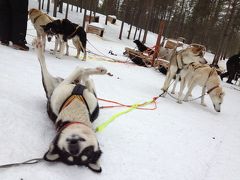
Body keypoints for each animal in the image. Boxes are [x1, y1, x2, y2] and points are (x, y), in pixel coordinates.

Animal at [32, 38, 107, 173]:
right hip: (51, 85)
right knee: (43, 63)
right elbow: (82, 72)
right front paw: (92, 71)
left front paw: (91, 71)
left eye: (87, 153)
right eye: (67, 153)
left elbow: (84, 75)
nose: (74, 149)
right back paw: (39, 47)